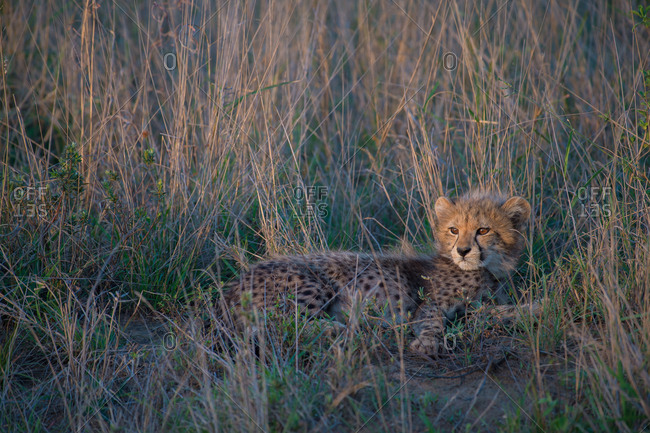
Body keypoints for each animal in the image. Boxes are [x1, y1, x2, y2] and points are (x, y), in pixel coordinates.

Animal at [224, 191, 532, 355]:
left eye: (483, 230)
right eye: (454, 229)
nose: (463, 251)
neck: (484, 270)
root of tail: (231, 287)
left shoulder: (473, 309)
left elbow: (499, 311)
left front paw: (535, 309)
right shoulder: (428, 305)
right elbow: (431, 321)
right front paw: (427, 343)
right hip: (311, 285)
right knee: (278, 326)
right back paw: (346, 328)